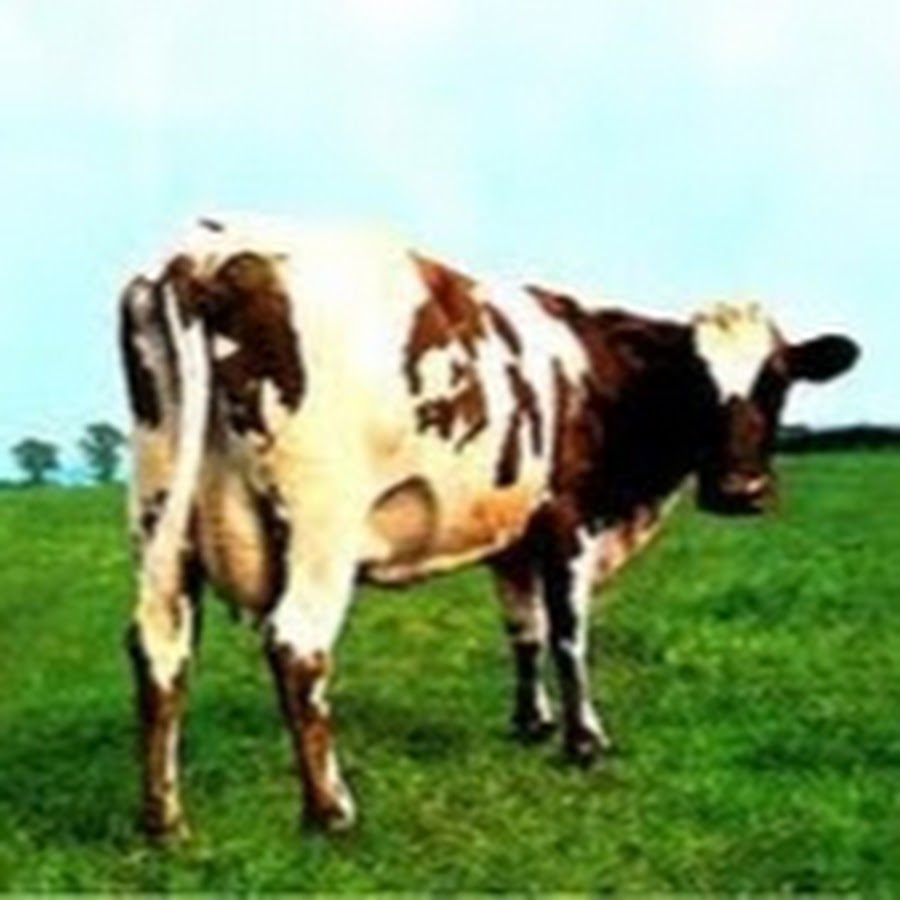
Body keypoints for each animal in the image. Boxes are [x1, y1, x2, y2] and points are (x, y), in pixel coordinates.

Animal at [119, 217, 858, 838]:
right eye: (696, 380)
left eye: (777, 381)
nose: (740, 491)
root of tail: (206, 251)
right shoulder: (567, 521)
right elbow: (568, 634)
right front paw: (585, 741)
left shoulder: (511, 536)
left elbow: (522, 631)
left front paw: (532, 723)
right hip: (320, 525)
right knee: (297, 646)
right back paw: (331, 810)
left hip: (160, 513)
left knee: (159, 643)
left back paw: (163, 820)